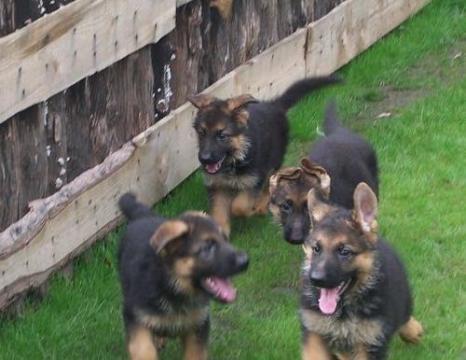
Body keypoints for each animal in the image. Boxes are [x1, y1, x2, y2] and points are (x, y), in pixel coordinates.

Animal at [117, 194, 248, 360]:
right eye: (208, 247)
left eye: (226, 239)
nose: (245, 261)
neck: (172, 287)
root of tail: (143, 215)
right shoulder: (135, 317)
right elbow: (144, 350)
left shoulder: (198, 326)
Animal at [187, 75, 340, 233]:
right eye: (201, 133)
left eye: (222, 136)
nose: (204, 159)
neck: (235, 158)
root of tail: (274, 106)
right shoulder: (218, 187)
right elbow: (219, 212)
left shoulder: (254, 180)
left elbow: (239, 206)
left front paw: (251, 209)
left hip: (273, 160)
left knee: (271, 181)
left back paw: (261, 205)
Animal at [298, 184, 422, 358]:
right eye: (316, 249)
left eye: (344, 252)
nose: (315, 279)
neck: (342, 314)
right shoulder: (314, 332)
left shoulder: (370, 342)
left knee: (404, 315)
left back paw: (413, 330)